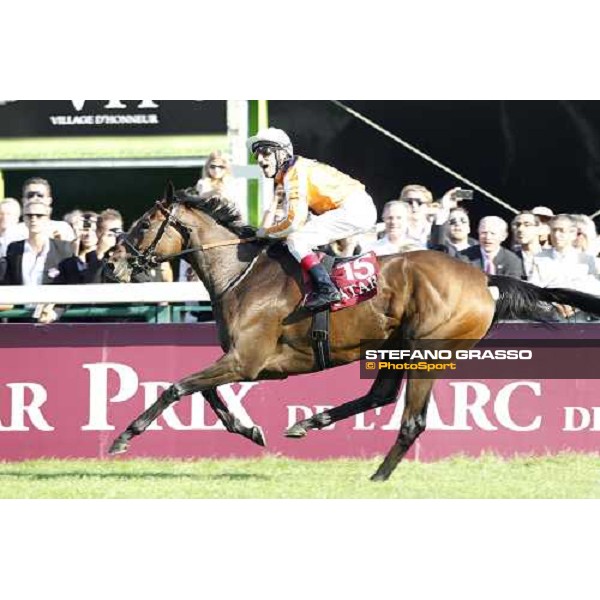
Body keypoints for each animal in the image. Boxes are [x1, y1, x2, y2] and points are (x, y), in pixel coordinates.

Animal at [104, 185, 600, 480]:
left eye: (144, 224)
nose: (111, 263)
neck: (242, 274)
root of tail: (483, 278)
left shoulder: (247, 360)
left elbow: (177, 387)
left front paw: (123, 437)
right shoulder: (245, 362)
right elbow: (204, 393)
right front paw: (250, 430)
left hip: (427, 350)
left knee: (411, 420)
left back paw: (378, 475)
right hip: (395, 347)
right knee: (378, 396)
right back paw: (308, 423)